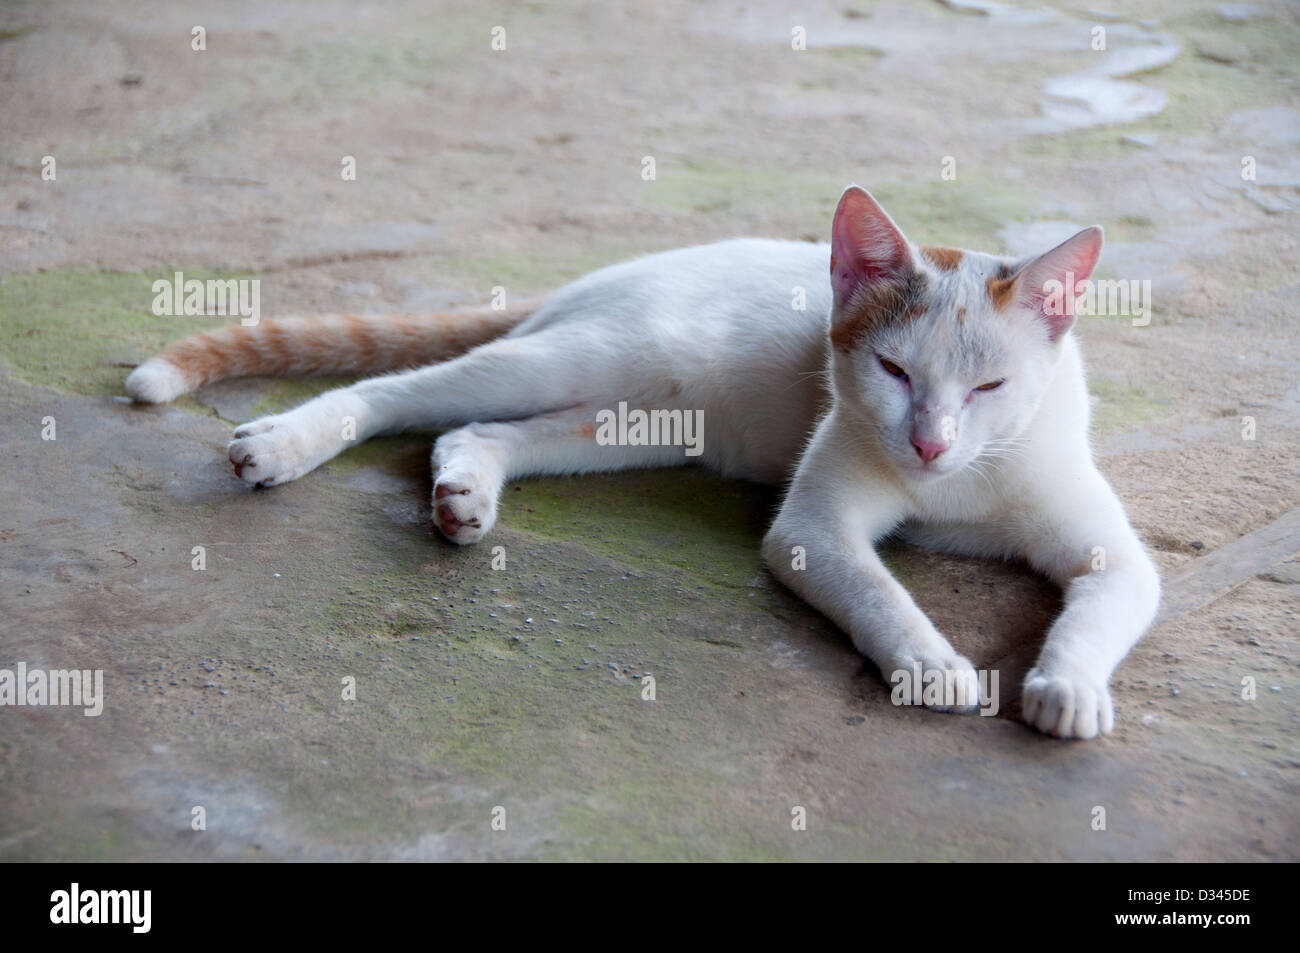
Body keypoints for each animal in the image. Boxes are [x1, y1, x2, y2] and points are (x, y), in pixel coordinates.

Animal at [124, 184, 1159, 738]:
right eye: (895, 371)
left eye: (990, 388)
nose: (931, 443)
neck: (959, 487)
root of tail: (608, 274)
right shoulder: (812, 526)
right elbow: (876, 590)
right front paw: (933, 663)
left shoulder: (1108, 545)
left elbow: (1112, 594)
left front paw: (1068, 688)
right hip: (576, 359)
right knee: (401, 391)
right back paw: (285, 442)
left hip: (639, 420)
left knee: (477, 432)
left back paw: (465, 490)